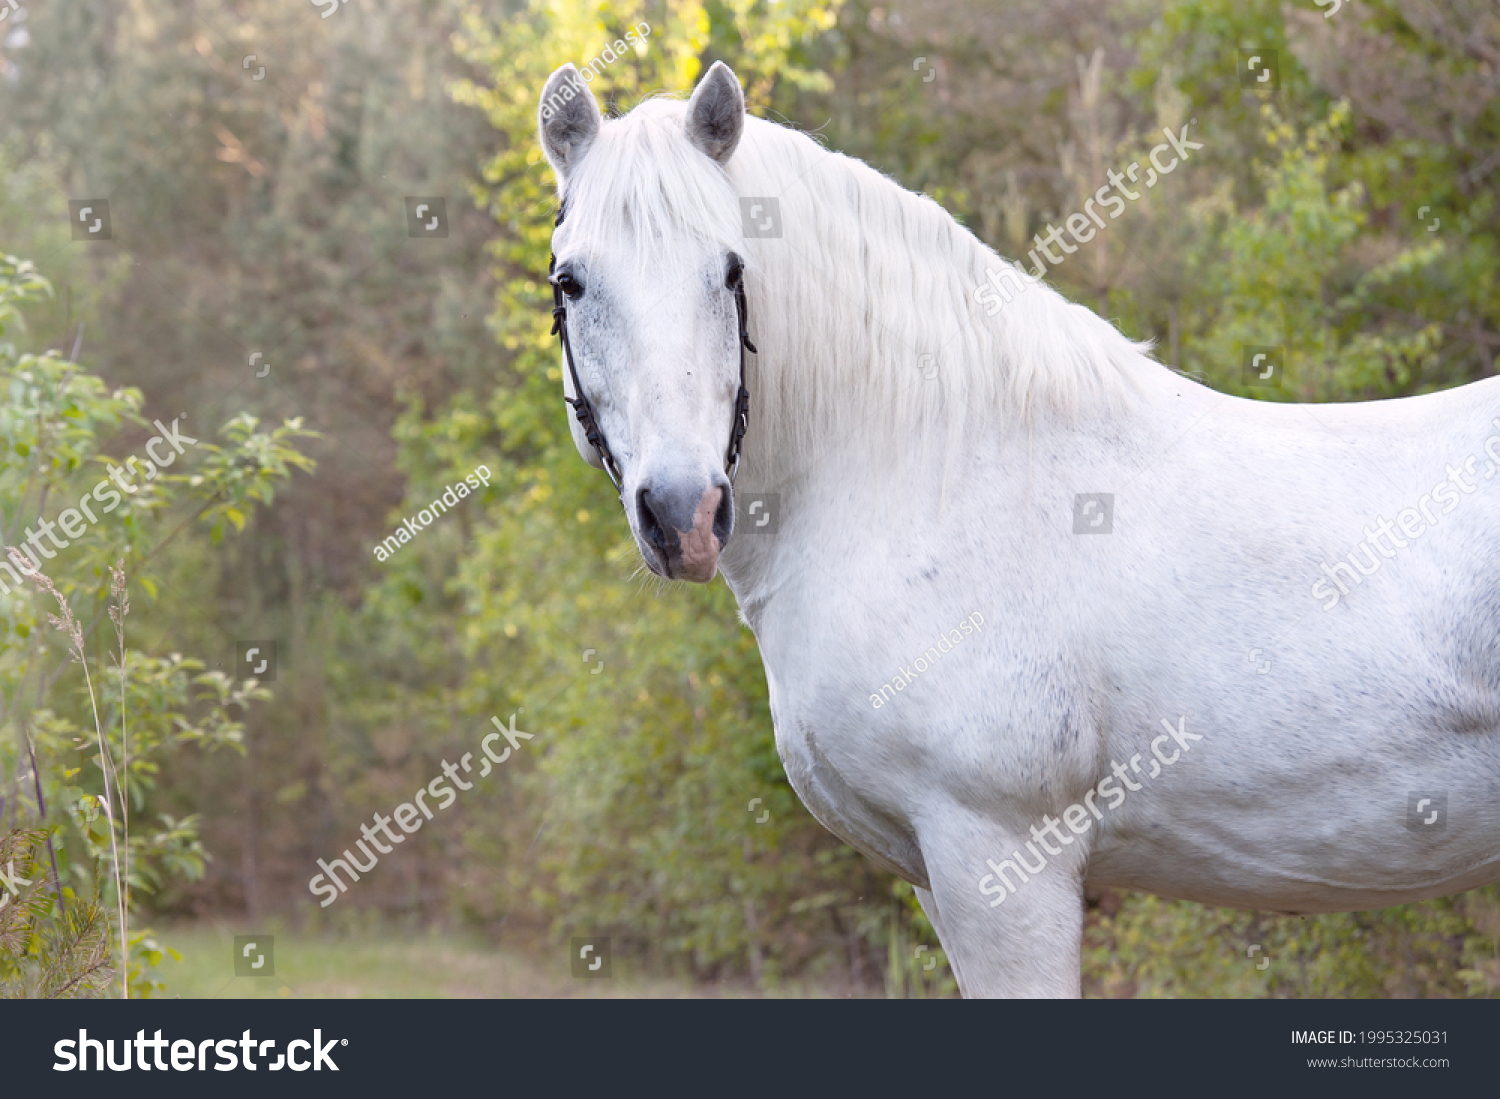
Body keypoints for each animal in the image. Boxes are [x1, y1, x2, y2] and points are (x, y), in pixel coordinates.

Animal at [540, 57, 1500, 995]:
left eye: (732, 272)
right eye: (570, 283)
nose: (684, 516)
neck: (934, 471)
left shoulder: (1000, 863)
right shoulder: (938, 876)